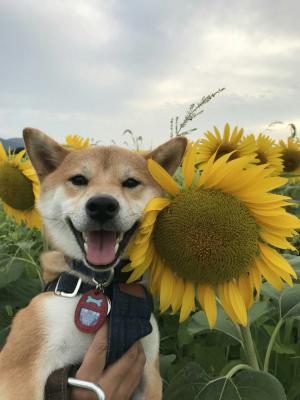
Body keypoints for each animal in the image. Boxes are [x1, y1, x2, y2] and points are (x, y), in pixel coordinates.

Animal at [0, 129, 188, 400]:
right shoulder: (20, 369)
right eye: (78, 179)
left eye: (130, 183)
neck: (102, 288)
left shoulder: (150, 373)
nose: (101, 205)